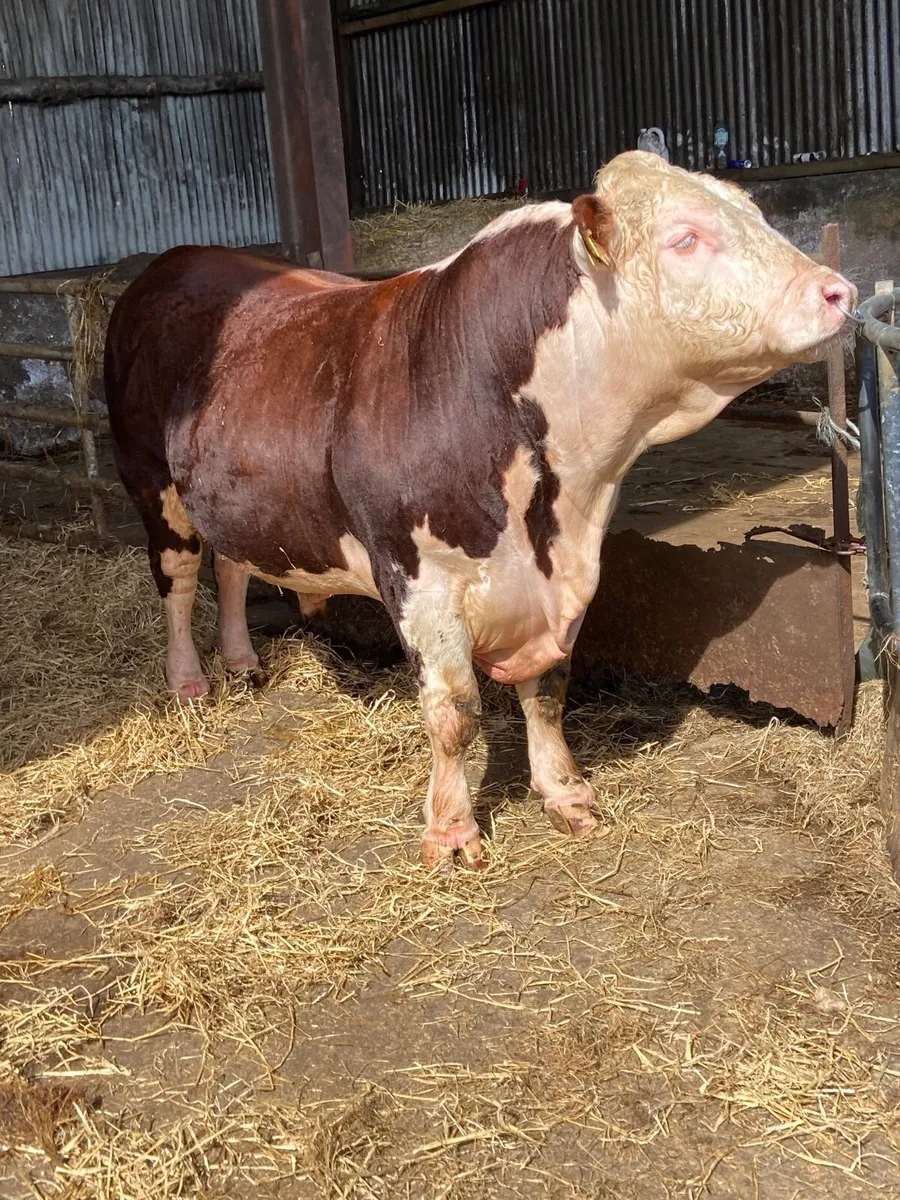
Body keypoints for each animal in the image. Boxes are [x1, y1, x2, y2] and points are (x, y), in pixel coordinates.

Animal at [104, 151, 855, 873]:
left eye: (754, 214)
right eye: (685, 237)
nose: (837, 291)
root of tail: (178, 259)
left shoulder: (564, 577)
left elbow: (549, 690)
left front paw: (565, 792)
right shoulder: (419, 577)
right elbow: (453, 711)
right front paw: (451, 830)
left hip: (230, 492)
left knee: (231, 567)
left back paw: (242, 661)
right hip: (150, 481)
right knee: (178, 580)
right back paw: (190, 682)